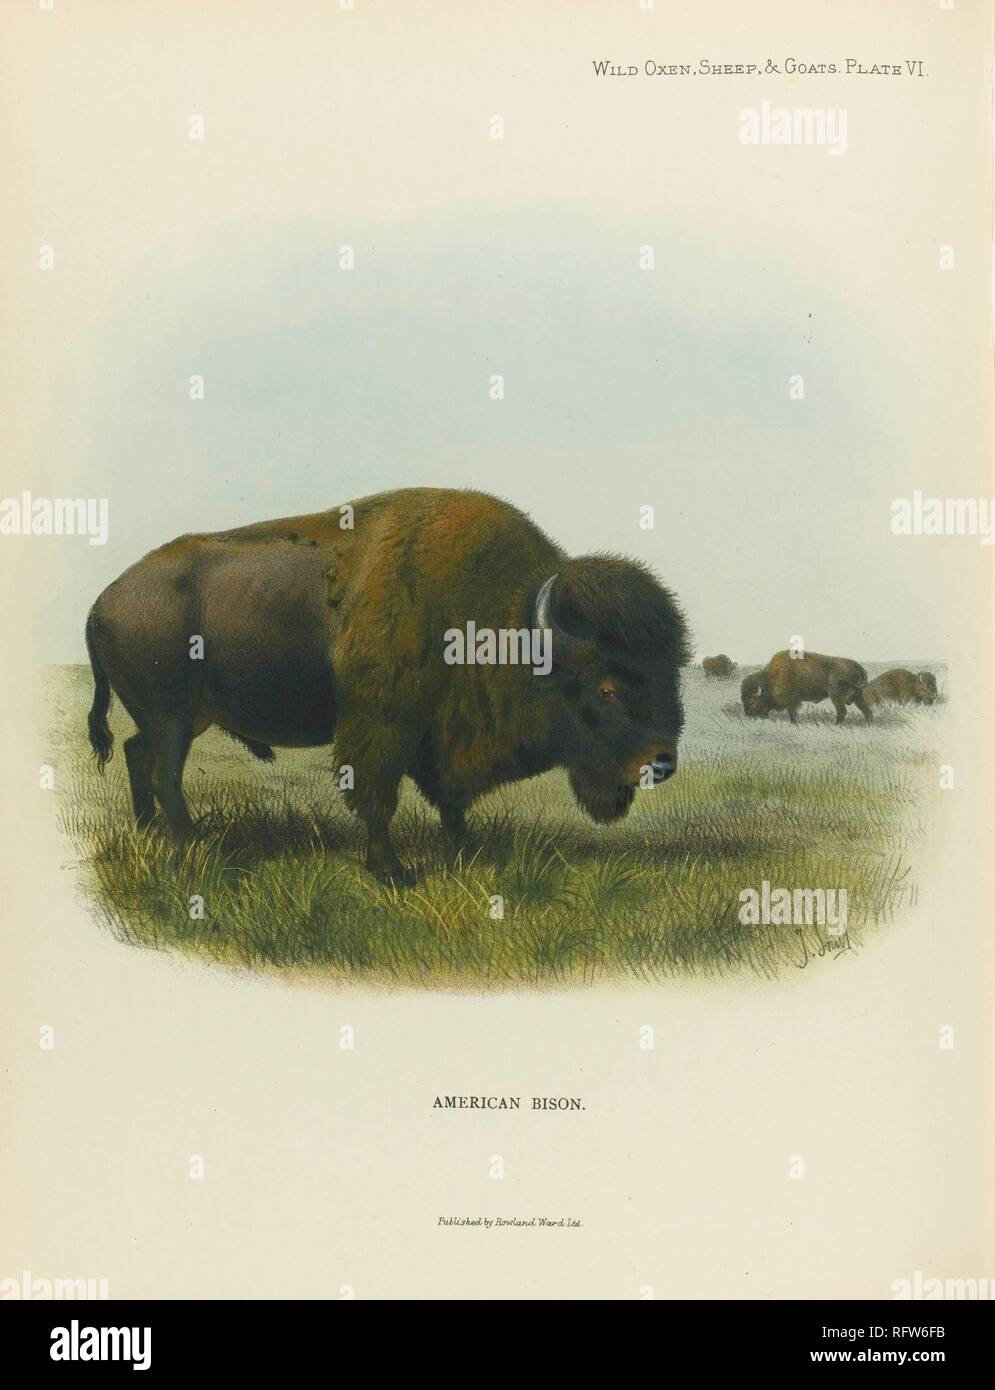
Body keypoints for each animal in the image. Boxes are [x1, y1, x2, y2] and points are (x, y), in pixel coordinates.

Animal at [86, 488, 690, 884]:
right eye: (606, 688)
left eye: (670, 673)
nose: (661, 763)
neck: (508, 626)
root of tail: (103, 601)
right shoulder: (382, 727)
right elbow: (379, 797)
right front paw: (393, 872)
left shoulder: (436, 734)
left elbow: (450, 801)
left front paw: (471, 851)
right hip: (172, 716)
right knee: (163, 772)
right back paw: (196, 846)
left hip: (184, 717)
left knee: (138, 756)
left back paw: (150, 832)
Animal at [741, 650, 872, 725]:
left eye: (752, 701)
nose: (748, 716)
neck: (771, 677)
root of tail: (857, 667)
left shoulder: (791, 701)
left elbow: (792, 714)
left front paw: (794, 723)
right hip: (857, 695)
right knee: (867, 711)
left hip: (836, 696)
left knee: (842, 712)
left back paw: (836, 725)